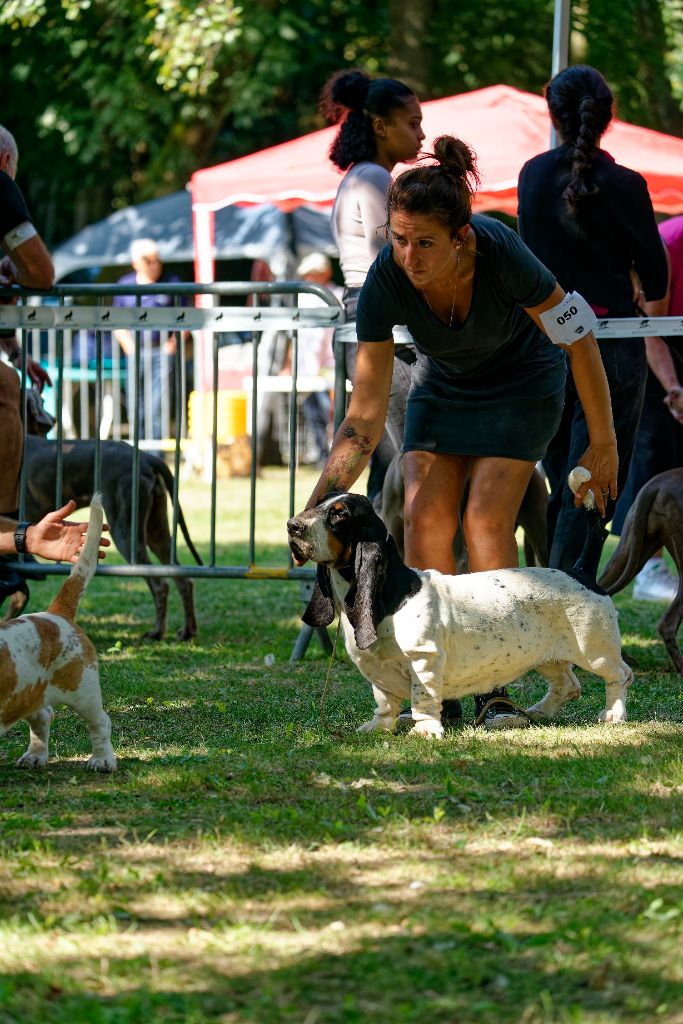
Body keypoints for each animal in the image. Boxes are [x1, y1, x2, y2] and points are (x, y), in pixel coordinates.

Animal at [0, 493, 116, 770]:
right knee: (43, 716)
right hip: (28, 692)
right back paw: (35, 756)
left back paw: (102, 760)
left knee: (100, 722)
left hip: (82, 691)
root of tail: (56, 613)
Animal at [17, 434, 201, 638]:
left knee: (160, 585)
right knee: (184, 580)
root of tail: (145, 458)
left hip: (126, 532)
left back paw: (157, 632)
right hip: (157, 531)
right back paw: (187, 631)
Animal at [286, 493, 630, 741]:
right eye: (316, 504)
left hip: (594, 651)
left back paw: (613, 714)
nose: (292, 526)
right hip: (548, 657)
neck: (395, 593)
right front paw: (378, 728)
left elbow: (423, 699)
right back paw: (539, 713)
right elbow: (385, 704)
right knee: (568, 685)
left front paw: (425, 731)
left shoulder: (423, 660)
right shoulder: (377, 670)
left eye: (340, 514)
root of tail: (579, 570)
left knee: (620, 675)